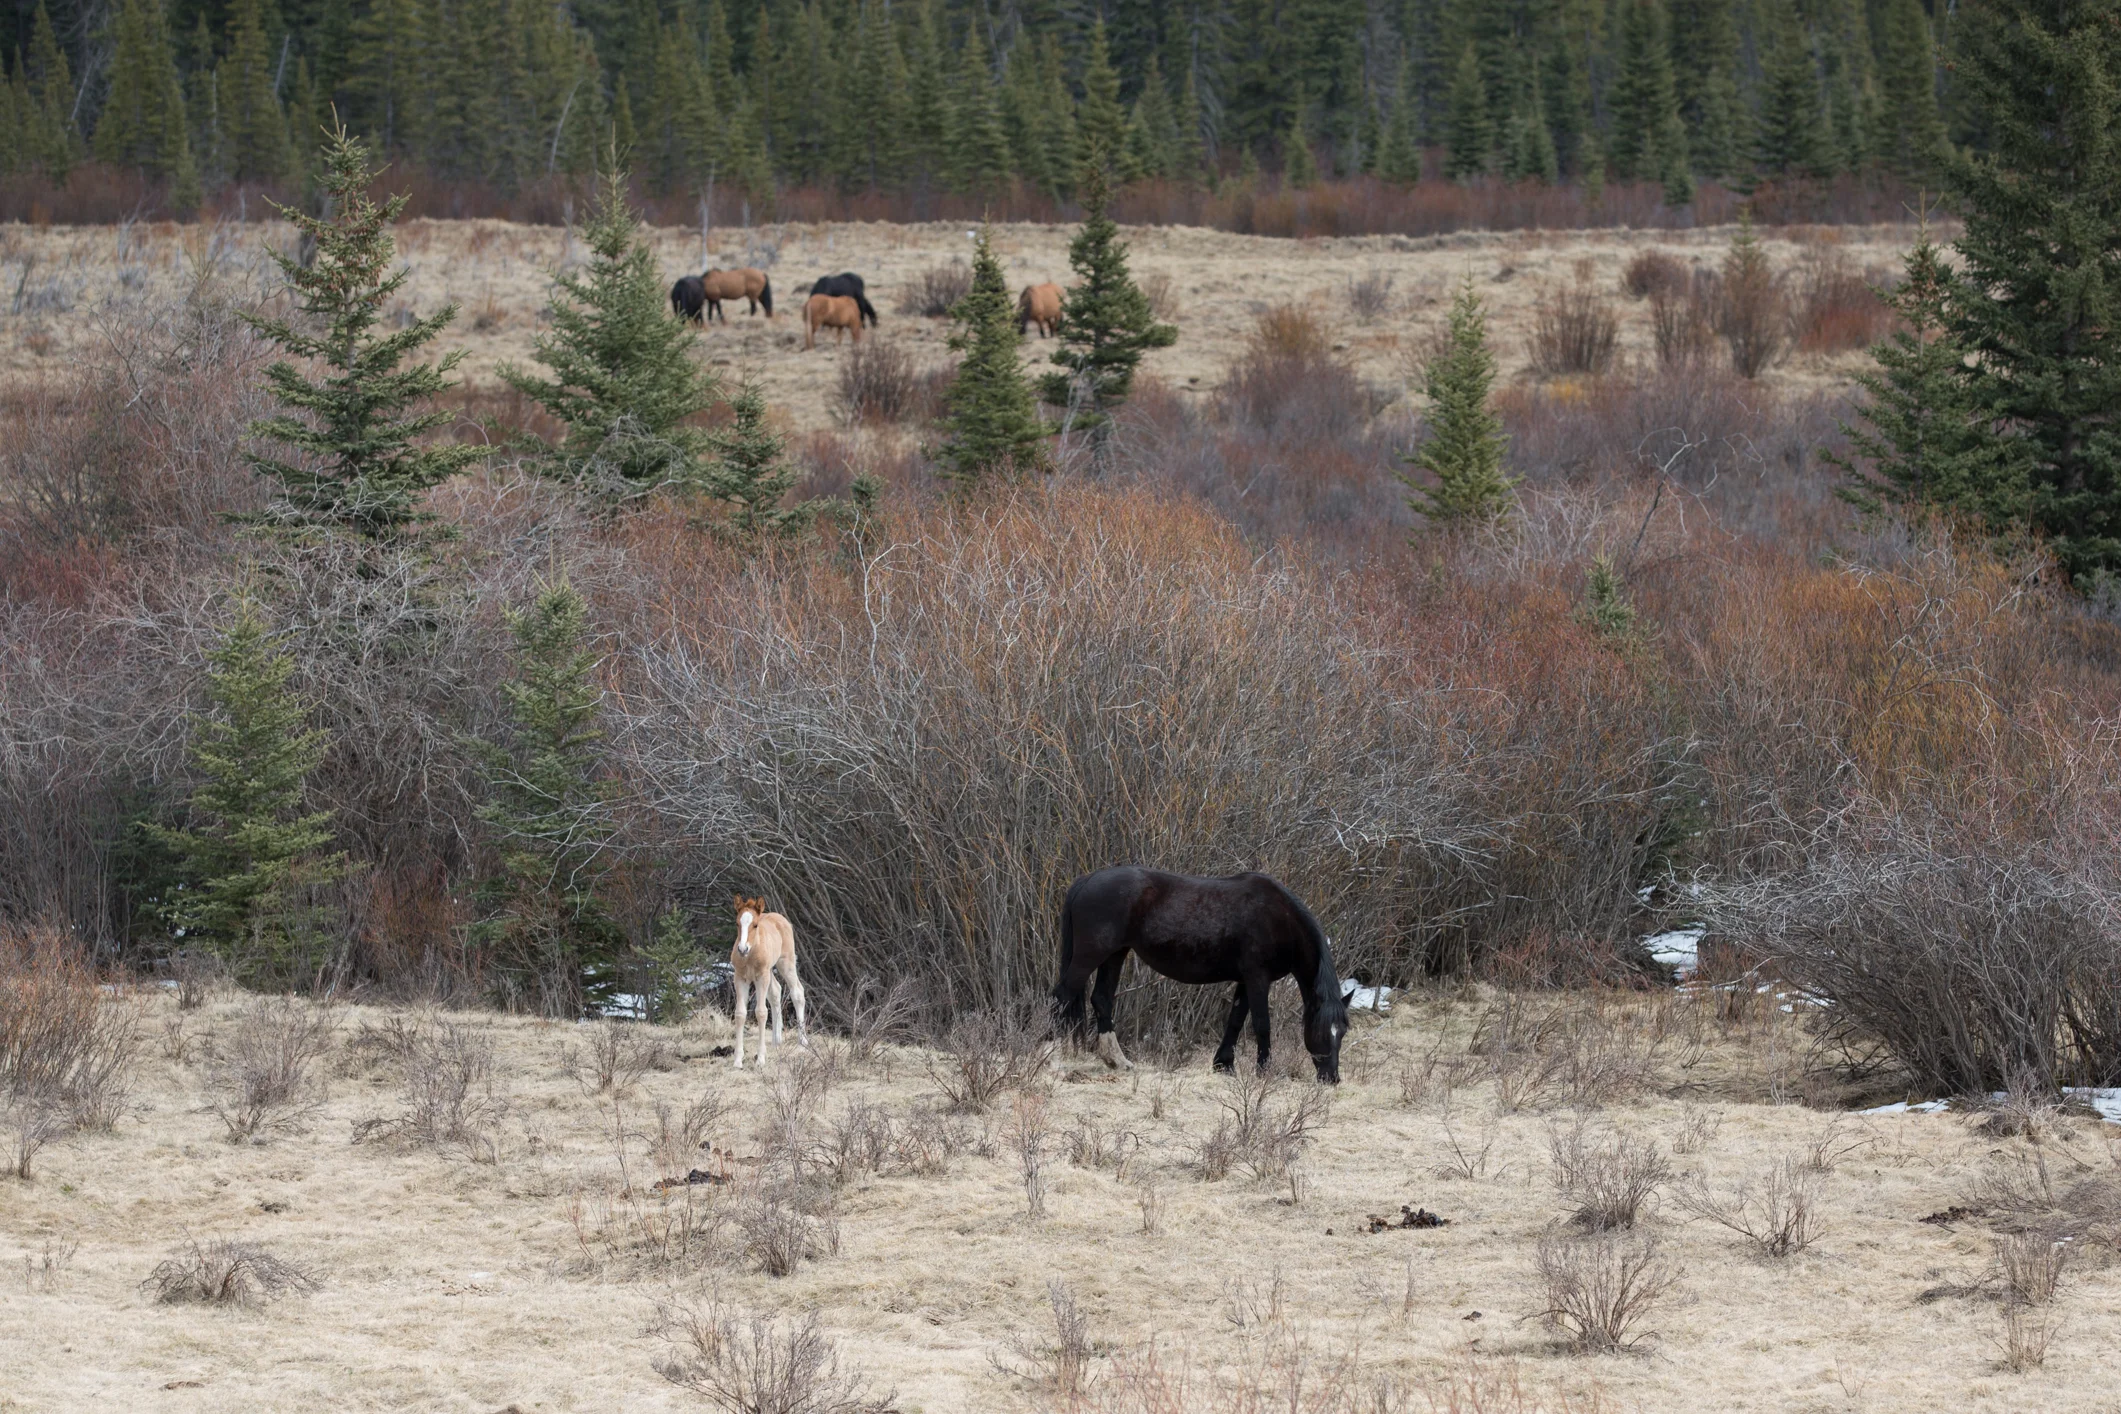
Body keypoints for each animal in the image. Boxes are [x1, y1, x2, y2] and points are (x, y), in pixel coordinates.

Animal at [730, 895, 808, 1069]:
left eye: (755, 925)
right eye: (737, 924)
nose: (742, 949)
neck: (751, 955)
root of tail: (782, 919)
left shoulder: (761, 977)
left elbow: (761, 1012)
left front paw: (760, 1059)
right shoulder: (740, 978)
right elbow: (740, 1013)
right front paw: (737, 1060)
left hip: (785, 963)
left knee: (797, 992)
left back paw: (803, 1041)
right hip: (771, 970)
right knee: (776, 992)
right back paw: (776, 1040)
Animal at [1051, 866, 1349, 1083]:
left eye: (1343, 1032)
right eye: (1320, 1030)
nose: (1332, 1078)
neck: (1280, 917)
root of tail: (1088, 879)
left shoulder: (1245, 980)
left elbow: (1235, 1020)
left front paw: (1224, 1064)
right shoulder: (1258, 978)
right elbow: (1261, 1025)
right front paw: (1264, 1071)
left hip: (1115, 955)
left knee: (1101, 999)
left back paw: (1117, 1061)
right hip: (1090, 955)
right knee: (1062, 995)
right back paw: (1051, 1057)